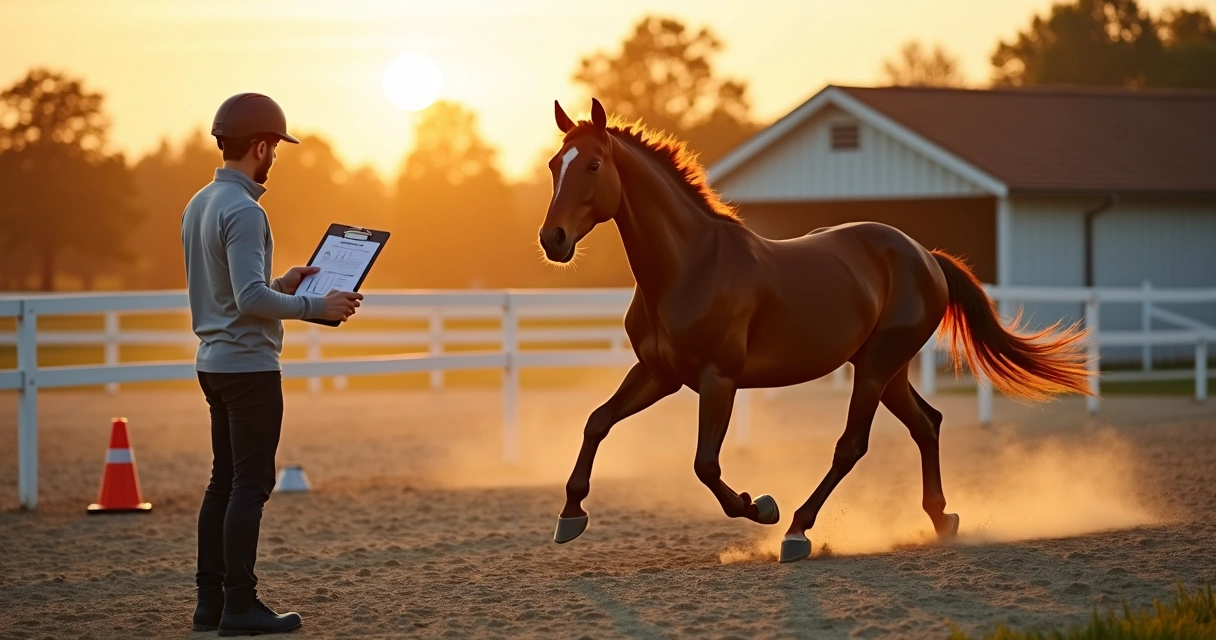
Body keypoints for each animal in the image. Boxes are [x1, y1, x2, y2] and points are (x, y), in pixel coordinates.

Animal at [537, 98, 1093, 563]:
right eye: (553, 166)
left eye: (592, 165)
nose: (552, 239)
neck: (690, 266)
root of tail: (924, 255)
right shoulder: (658, 374)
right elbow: (597, 422)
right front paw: (570, 516)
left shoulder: (718, 380)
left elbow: (705, 465)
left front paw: (762, 506)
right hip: (886, 369)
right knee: (927, 424)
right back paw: (942, 519)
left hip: (877, 367)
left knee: (852, 445)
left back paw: (798, 530)